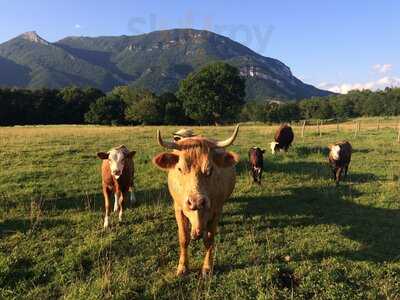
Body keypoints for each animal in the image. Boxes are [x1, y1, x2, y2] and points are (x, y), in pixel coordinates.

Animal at [153, 125, 241, 276]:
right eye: (180, 168)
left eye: (210, 170)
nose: (196, 201)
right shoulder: (178, 209)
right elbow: (183, 238)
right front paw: (182, 267)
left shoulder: (217, 210)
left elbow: (209, 239)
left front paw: (207, 267)